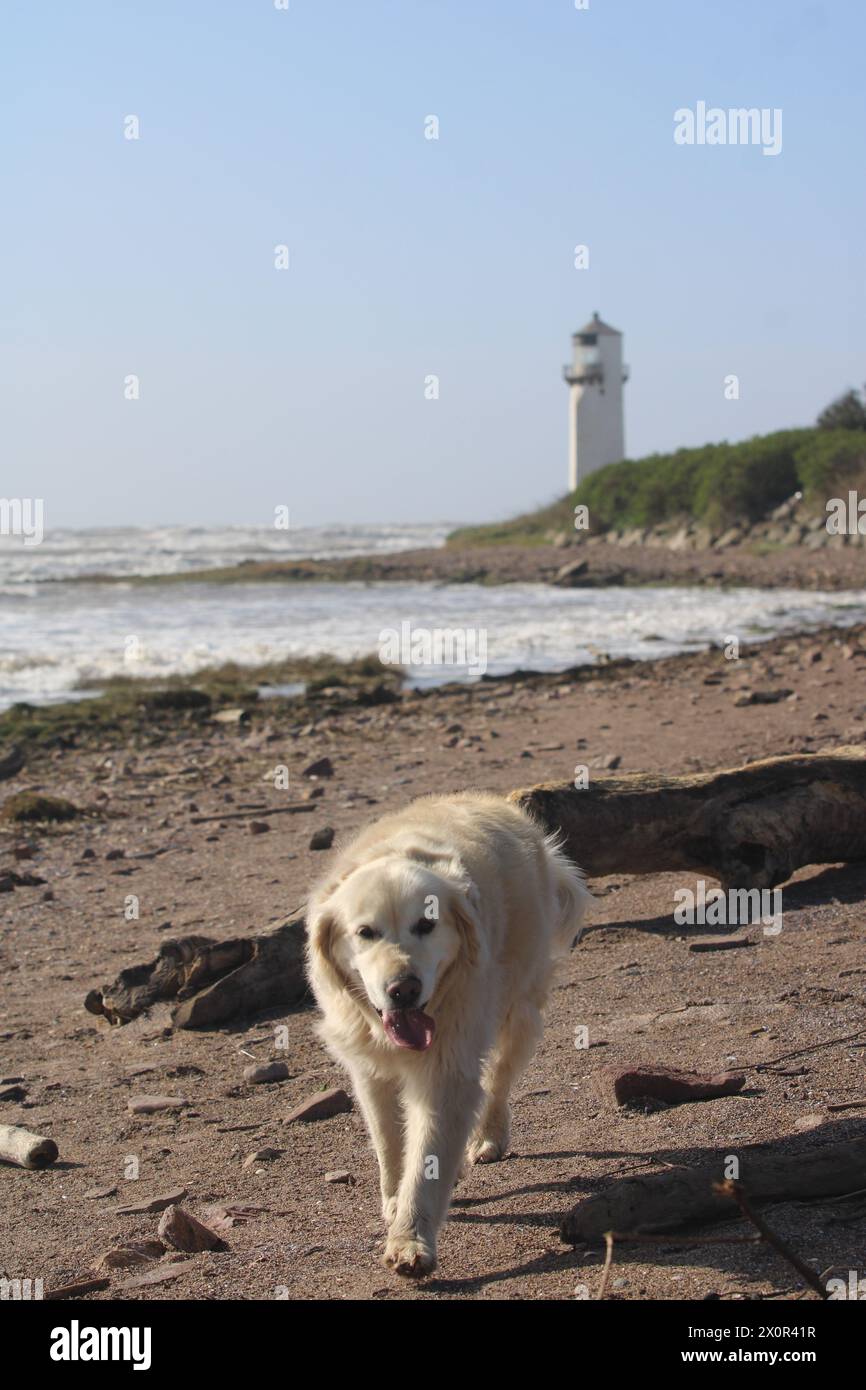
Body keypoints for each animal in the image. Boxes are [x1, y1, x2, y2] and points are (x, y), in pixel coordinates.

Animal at [304, 795, 589, 1278]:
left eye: (427, 924)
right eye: (365, 932)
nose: (404, 989)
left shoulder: (447, 1071)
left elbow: (427, 1159)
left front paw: (410, 1240)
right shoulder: (369, 1071)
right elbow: (391, 1144)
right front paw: (395, 1201)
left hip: (518, 1010)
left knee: (497, 1082)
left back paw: (488, 1137)